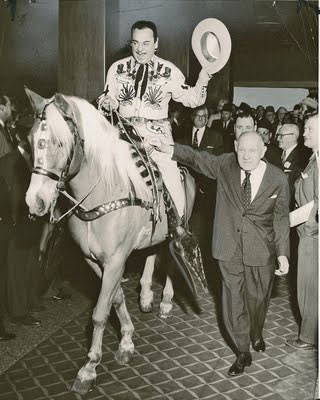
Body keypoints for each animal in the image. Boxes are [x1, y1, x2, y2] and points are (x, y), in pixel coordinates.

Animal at [25, 88, 199, 394]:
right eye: (30, 141)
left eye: (60, 142)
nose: (36, 201)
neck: (105, 191)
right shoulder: (94, 261)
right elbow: (115, 299)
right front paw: (127, 341)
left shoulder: (116, 261)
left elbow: (100, 312)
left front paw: (88, 369)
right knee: (153, 253)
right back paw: (146, 294)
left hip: (179, 227)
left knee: (172, 256)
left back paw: (166, 301)